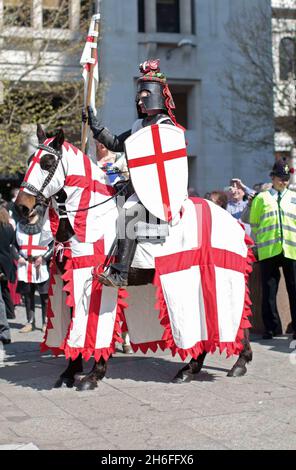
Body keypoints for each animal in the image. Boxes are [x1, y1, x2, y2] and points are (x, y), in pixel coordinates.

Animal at [15, 126, 253, 392]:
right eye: (29, 160)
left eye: (47, 163)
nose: (21, 207)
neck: (90, 221)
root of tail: (233, 223)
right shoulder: (71, 280)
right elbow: (74, 322)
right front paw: (70, 371)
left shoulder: (96, 286)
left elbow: (97, 325)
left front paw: (93, 375)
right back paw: (195, 368)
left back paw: (232, 363)